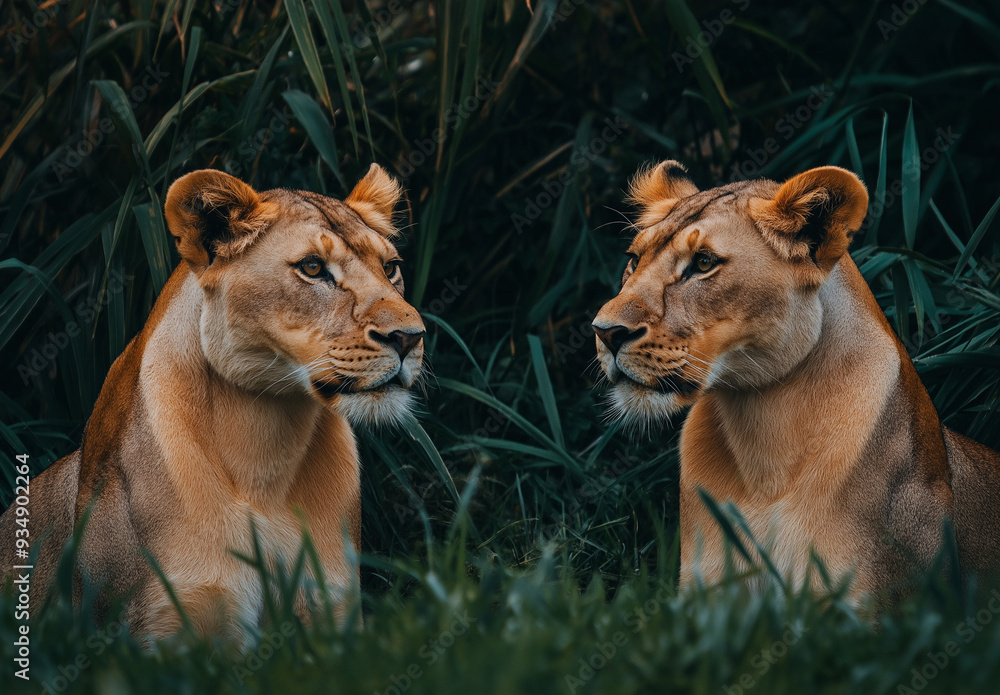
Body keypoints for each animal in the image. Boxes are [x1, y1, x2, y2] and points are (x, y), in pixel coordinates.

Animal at [0, 164, 425, 641]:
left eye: (390, 268)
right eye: (313, 268)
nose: (410, 338)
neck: (266, 447)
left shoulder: (334, 614)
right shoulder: (166, 623)